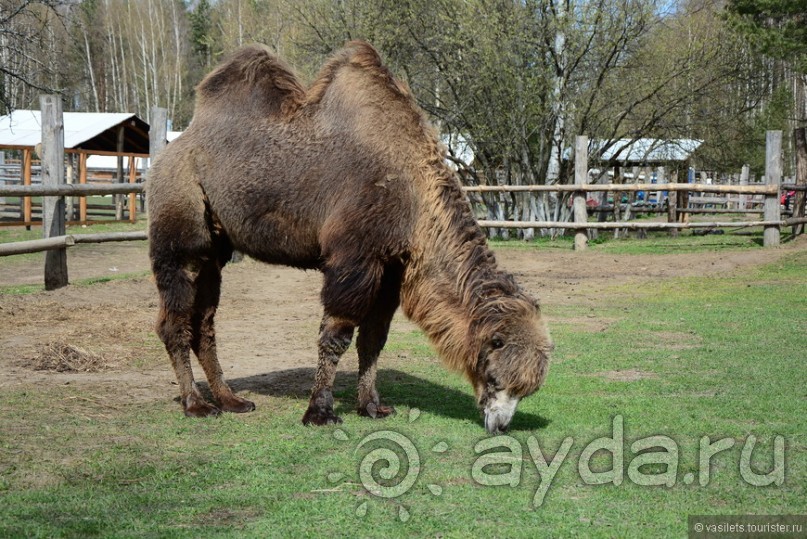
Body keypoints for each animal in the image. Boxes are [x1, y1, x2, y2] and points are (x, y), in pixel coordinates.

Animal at [145, 40, 552, 434]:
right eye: (498, 378)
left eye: (525, 391)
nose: (499, 425)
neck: (413, 193)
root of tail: (171, 148)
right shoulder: (355, 256)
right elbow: (337, 333)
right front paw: (320, 412)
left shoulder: (391, 266)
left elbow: (374, 337)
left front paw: (372, 406)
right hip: (180, 217)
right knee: (174, 317)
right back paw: (196, 405)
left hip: (216, 249)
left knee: (205, 321)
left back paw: (231, 400)